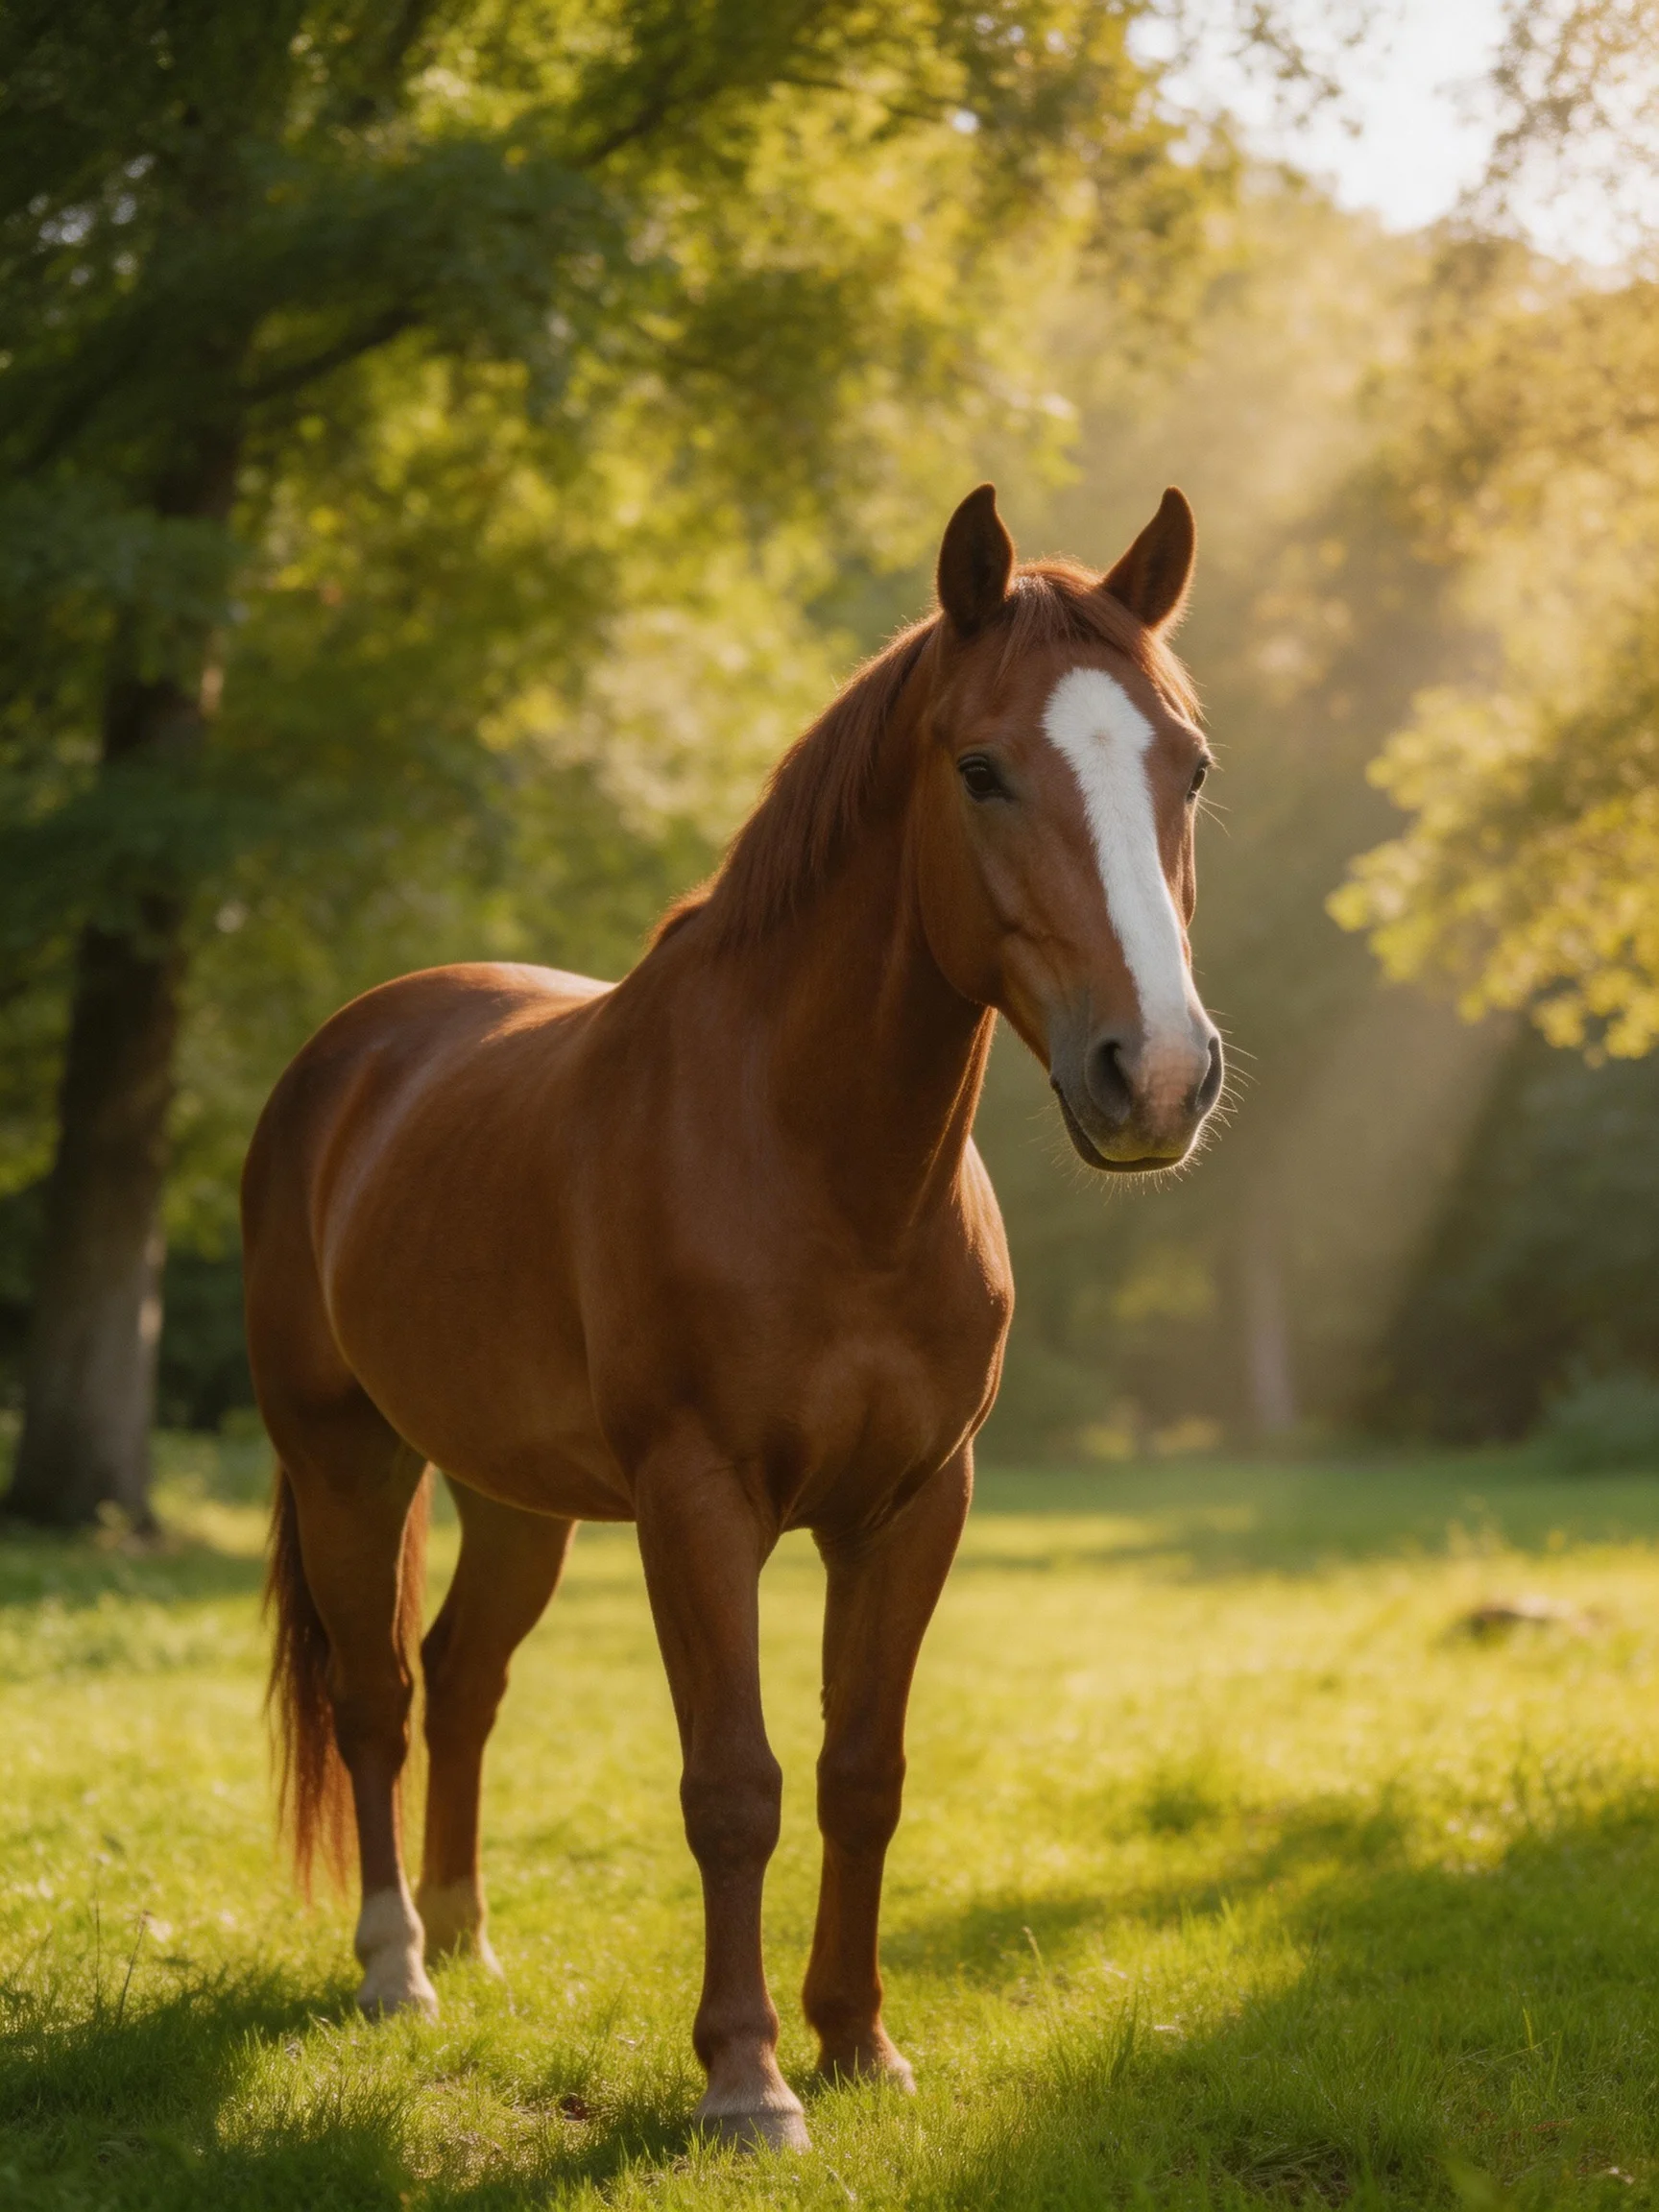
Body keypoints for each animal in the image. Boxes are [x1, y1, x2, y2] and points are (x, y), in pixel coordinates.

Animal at [243, 480, 1223, 2151]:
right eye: (981, 769)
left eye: (1191, 765)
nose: (1153, 1076)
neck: (820, 1163)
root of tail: (352, 1051)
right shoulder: (700, 1504)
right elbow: (735, 1785)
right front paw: (747, 2079)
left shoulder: (913, 1505)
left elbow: (861, 1770)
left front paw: (859, 2042)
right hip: (346, 1464)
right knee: (379, 1695)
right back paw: (397, 1966)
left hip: (518, 1503)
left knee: (465, 1676)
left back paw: (470, 1937)